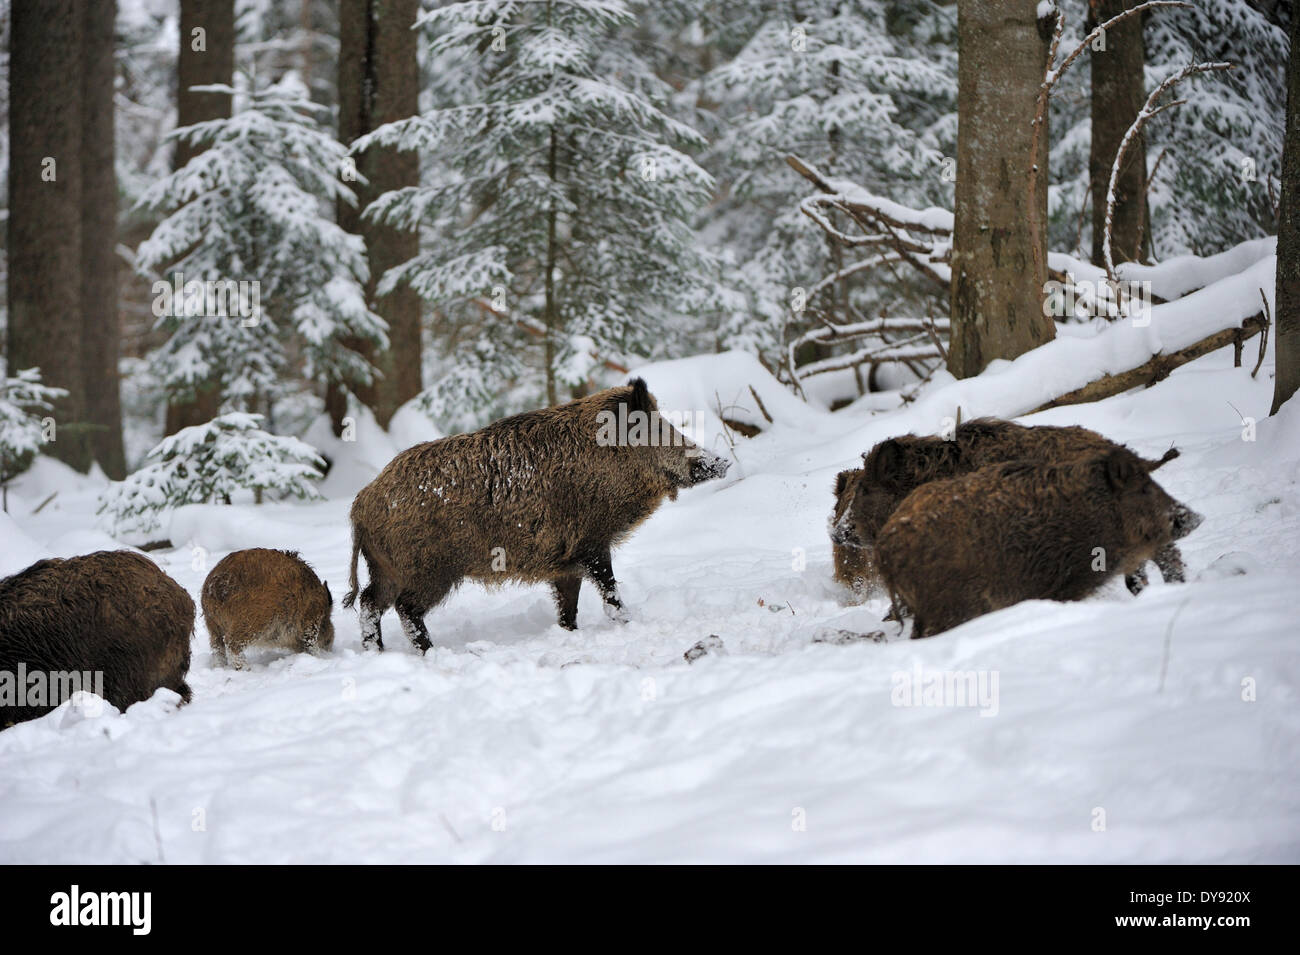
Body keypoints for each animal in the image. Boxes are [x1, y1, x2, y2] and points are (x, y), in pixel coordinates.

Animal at [202, 548, 334, 669]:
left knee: (217, 649)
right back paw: (247, 669)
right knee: (231, 644)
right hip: (253, 621)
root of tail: (216, 586)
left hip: (213, 626)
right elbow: (311, 644)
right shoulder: (310, 622)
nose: (329, 647)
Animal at [343, 377, 730, 651]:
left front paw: (569, 634)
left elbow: (569, 605)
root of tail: (362, 502)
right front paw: (627, 623)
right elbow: (609, 590)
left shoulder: (566, 562)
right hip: (429, 569)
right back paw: (430, 652)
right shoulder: (591, 543)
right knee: (404, 608)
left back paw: (377, 651)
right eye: (658, 429)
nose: (721, 462)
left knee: (369, 603)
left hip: (386, 568)